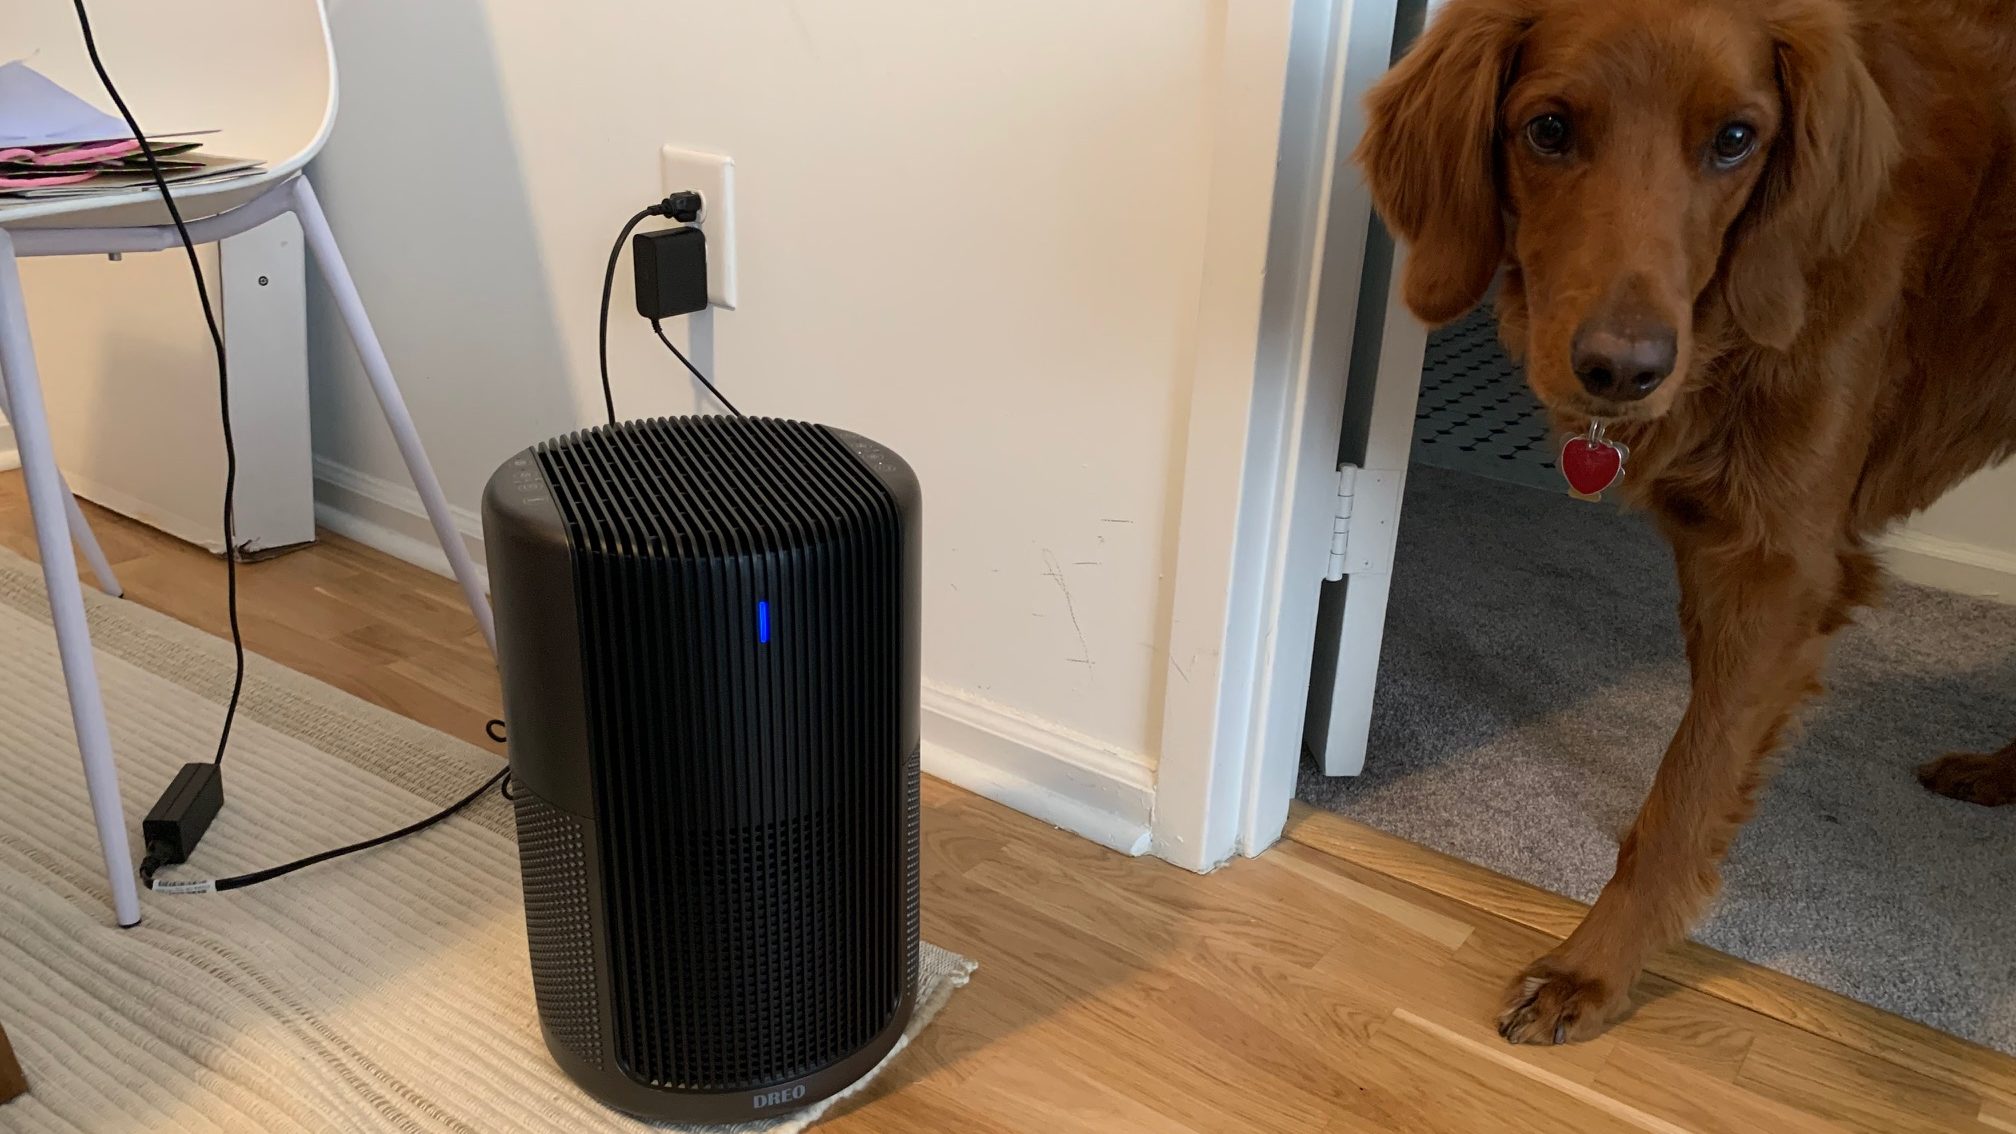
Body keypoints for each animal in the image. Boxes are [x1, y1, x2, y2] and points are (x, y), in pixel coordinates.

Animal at [1354, 0, 2016, 1041]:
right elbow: (1700, 756)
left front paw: (1592, 970)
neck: (1726, 337)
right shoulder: (1717, 555)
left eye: (1736, 140)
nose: (1621, 372)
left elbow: (1688, 786)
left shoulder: (1780, 569)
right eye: (1548, 130)